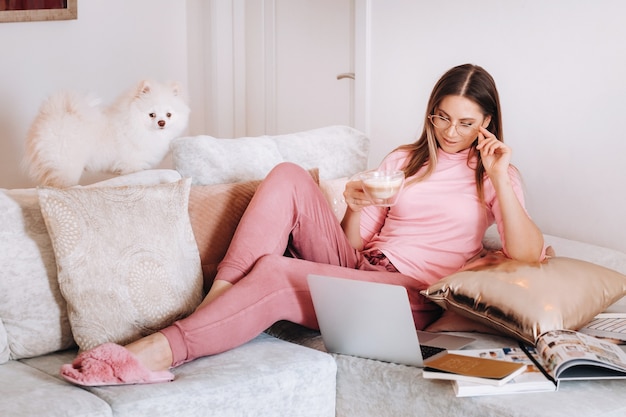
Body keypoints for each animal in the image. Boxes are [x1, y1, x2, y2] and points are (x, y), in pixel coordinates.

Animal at [24, 80, 189, 187]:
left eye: (168, 115)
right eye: (151, 115)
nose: (162, 123)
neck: (135, 123)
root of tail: (54, 114)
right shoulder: (132, 164)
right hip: (66, 166)